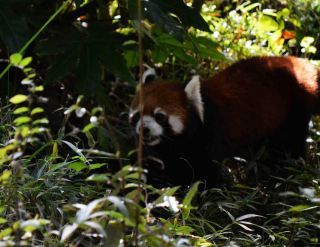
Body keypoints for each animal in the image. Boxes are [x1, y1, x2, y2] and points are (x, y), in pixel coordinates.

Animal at [129, 56, 318, 187]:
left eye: (159, 116)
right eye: (137, 115)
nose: (144, 129)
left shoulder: (211, 133)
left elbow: (207, 174)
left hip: (294, 109)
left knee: (291, 142)